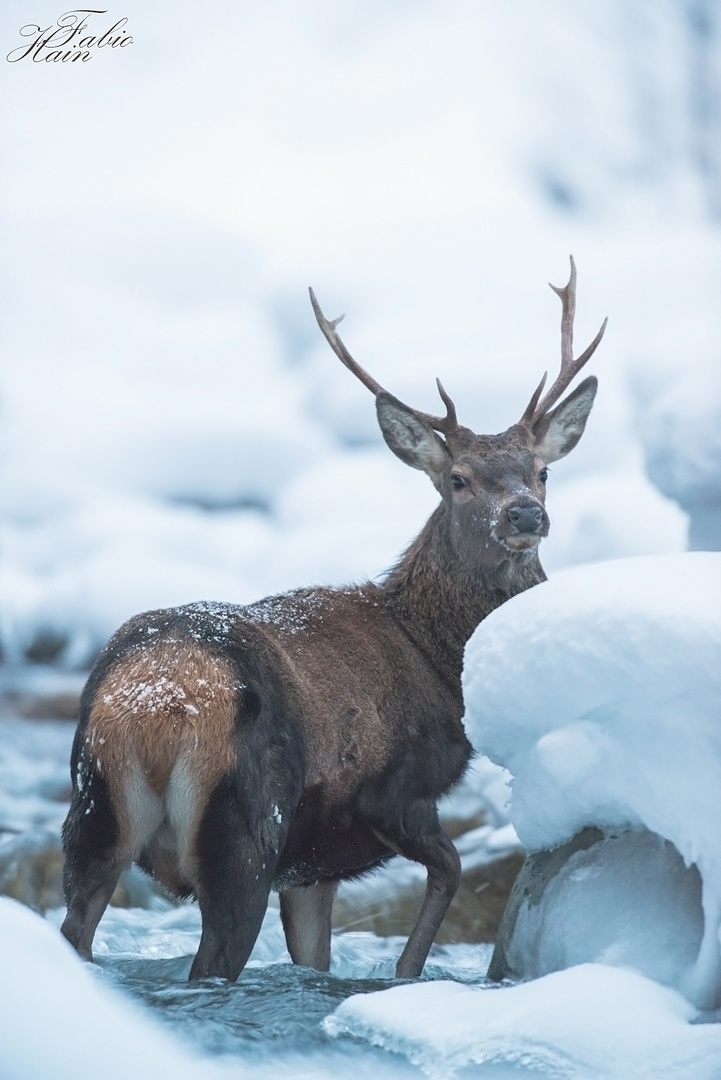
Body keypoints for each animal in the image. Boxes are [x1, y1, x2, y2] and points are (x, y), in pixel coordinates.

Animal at [62, 259, 604, 980]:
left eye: (542, 472)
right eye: (458, 478)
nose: (524, 514)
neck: (437, 656)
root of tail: (155, 706)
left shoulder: (310, 869)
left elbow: (315, 956)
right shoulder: (395, 791)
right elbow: (450, 869)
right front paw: (405, 975)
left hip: (90, 816)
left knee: (75, 927)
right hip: (243, 829)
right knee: (213, 959)